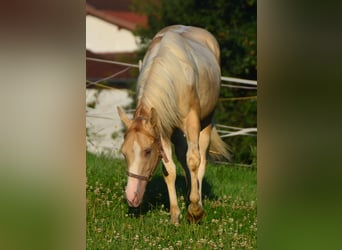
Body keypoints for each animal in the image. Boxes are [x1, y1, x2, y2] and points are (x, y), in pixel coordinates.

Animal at [118, 24, 230, 225]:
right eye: (124, 152)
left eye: (147, 151)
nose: (131, 197)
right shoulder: (163, 129)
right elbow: (169, 170)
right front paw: (175, 214)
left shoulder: (192, 123)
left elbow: (194, 161)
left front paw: (195, 211)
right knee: (182, 157)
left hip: (206, 123)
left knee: (201, 161)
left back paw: (197, 202)